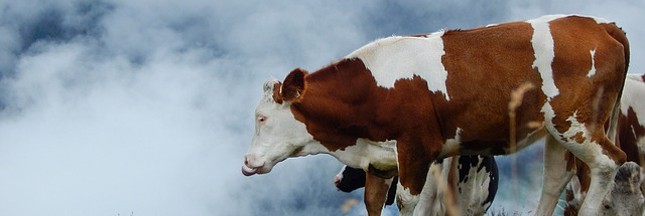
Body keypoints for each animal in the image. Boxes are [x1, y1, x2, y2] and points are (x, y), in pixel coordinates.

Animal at [243, 14, 628, 215]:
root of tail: (599, 24)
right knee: (556, 179)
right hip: (557, 130)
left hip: (576, 124)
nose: (246, 162)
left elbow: (408, 202)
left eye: (262, 118)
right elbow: (373, 203)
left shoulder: (417, 150)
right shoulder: (380, 161)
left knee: (608, 163)